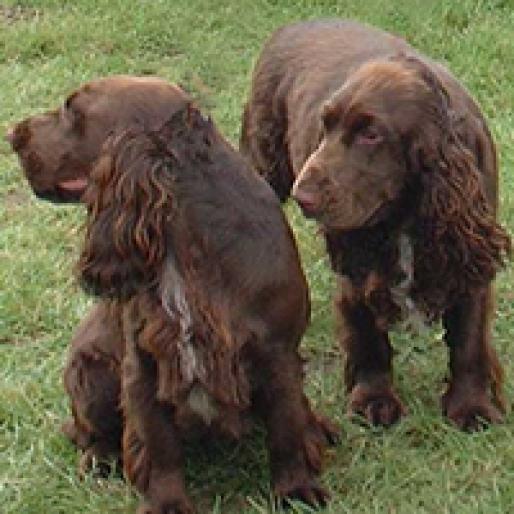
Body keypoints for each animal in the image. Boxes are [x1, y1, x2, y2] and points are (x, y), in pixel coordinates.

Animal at [74, 106, 334, 510]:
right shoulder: (144, 366)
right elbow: (158, 443)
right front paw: (166, 503)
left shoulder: (278, 353)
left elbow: (287, 425)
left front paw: (295, 489)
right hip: (90, 375)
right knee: (87, 431)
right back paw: (100, 457)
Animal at [239, 20, 508, 428]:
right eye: (325, 125)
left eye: (371, 134)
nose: (304, 196)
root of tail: (290, 26)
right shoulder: (358, 265)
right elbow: (367, 336)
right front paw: (374, 400)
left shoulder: (469, 254)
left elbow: (469, 340)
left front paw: (472, 406)